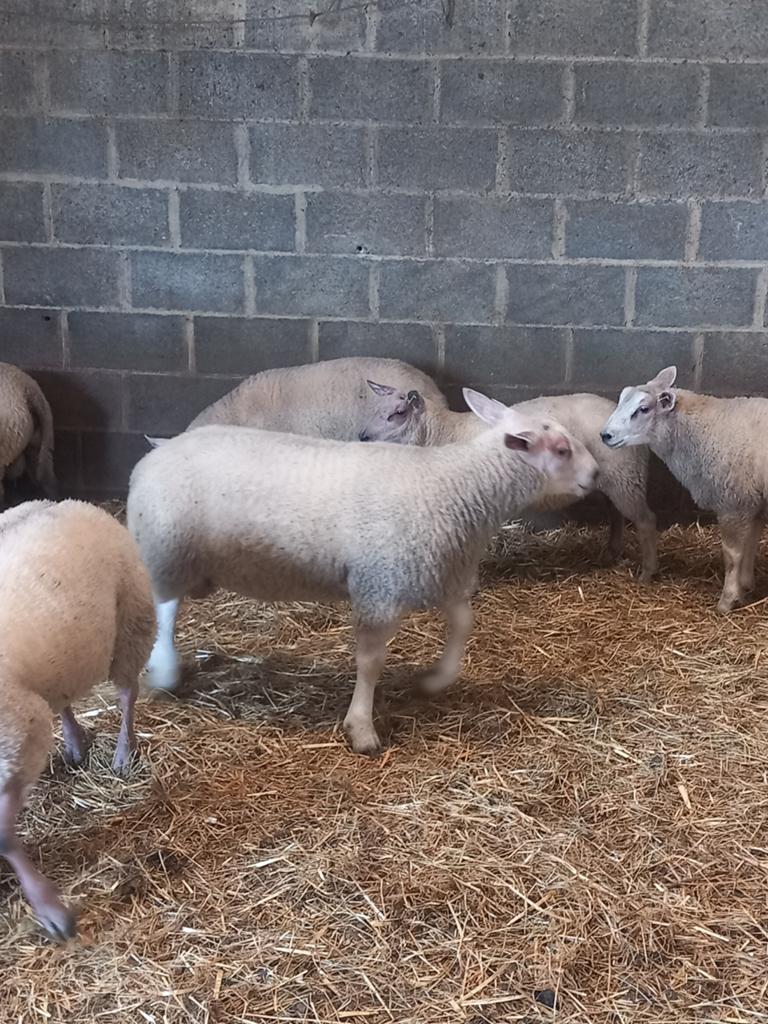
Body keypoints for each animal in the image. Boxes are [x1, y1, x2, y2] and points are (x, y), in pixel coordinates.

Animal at [0, 500, 154, 940]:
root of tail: (67, 503)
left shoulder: (19, 741)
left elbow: (4, 838)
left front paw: (49, 907)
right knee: (64, 699)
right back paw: (74, 742)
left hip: (131, 622)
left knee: (127, 694)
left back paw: (123, 753)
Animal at [127, 390, 599, 756]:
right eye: (562, 450)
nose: (595, 475)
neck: (455, 486)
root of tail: (155, 454)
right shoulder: (379, 587)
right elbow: (371, 662)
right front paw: (362, 728)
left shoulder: (437, 573)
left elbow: (464, 623)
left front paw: (436, 680)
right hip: (166, 548)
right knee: (163, 611)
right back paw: (165, 672)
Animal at [359, 384, 657, 582]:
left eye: (398, 412)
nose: (362, 437)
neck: (442, 433)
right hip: (615, 481)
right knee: (616, 514)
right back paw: (612, 552)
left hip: (626, 475)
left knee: (646, 521)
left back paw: (646, 572)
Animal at [601, 365, 768, 613]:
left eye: (643, 409)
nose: (605, 435)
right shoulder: (752, 501)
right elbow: (752, 543)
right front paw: (746, 585)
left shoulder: (733, 501)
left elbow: (732, 555)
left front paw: (727, 601)